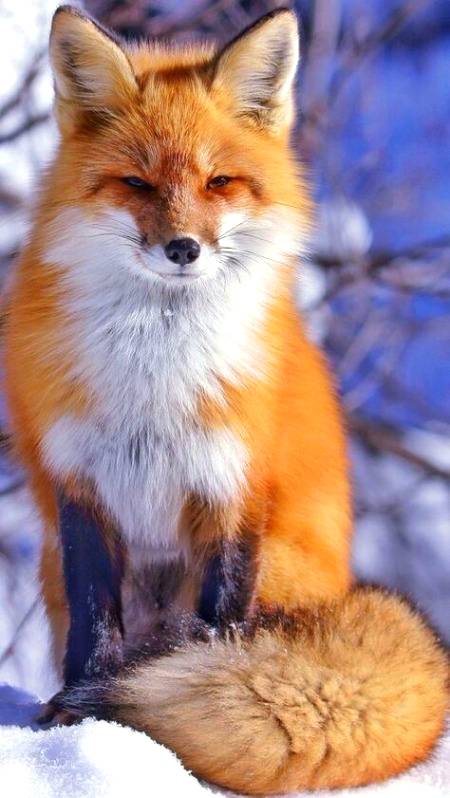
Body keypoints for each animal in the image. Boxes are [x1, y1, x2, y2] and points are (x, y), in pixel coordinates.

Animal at [2, 4, 447, 794]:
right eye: (137, 182)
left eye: (219, 182)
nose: (183, 248)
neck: (155, 374)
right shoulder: (79, 484)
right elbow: (93, 623)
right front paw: (76, 722)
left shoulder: (232, 484)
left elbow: (218, 629)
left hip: (282, 567)